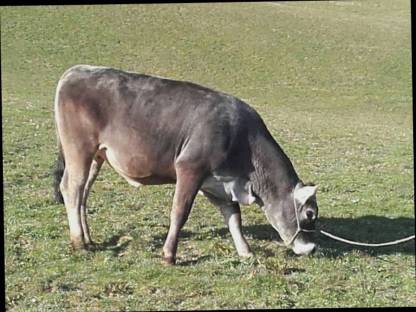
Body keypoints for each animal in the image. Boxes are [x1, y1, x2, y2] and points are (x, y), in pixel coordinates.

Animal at [52, 64, 318, 264]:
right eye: (309, 214)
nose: (312, 248)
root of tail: (76, 71)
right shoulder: (190, 168)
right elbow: (180, 212)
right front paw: (169, 255)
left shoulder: (218, 183)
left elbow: (233, 217)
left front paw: (246, 252)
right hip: (79, 148)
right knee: (71, 188)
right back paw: (79, 242)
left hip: (96, 156)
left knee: (83, 193)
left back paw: (88, 239)